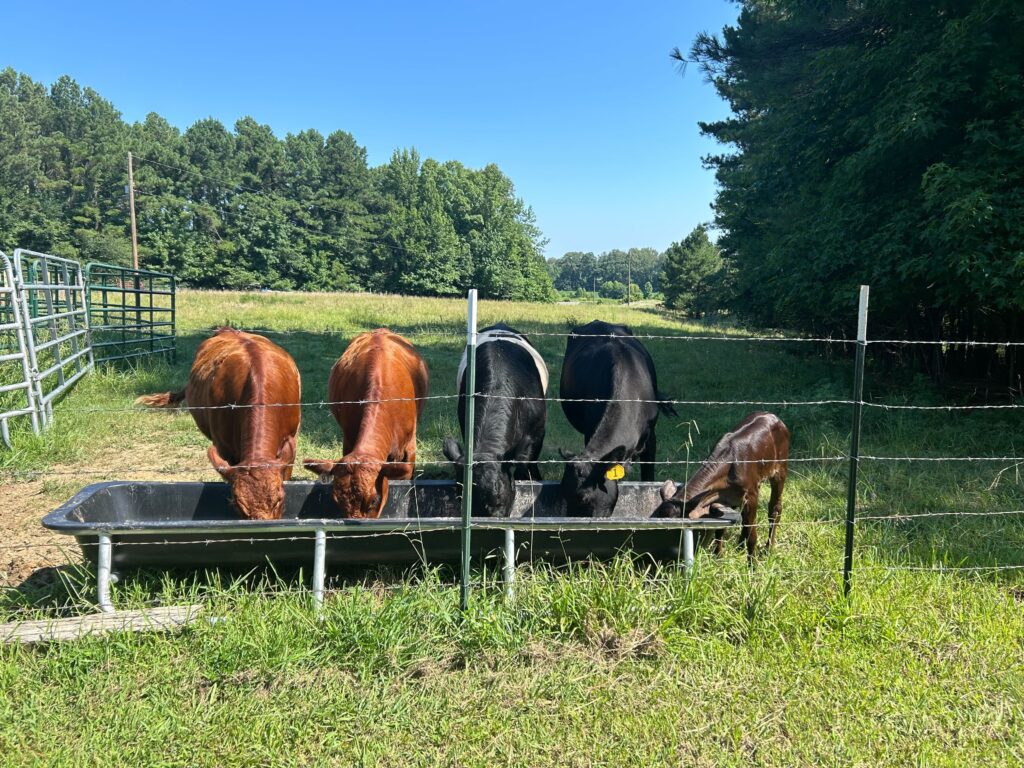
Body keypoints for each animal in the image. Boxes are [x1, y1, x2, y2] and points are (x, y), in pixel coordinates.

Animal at [651, 415, 786, 561]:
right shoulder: (723, 500)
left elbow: (752, 535)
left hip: (780, 470)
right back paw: (740, 546)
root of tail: (773, 416)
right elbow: (721, 528)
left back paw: (768, 548)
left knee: (775, 509)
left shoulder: (751, 495)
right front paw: (719, 557)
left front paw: (752, 564)